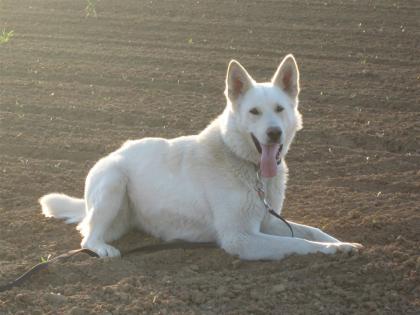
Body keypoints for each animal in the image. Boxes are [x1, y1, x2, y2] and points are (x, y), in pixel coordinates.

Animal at [38, 55, 360, 260]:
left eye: (280, 109)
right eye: (254, 112)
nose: (274, 133)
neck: (245, 164)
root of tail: (113, 153)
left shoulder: (266, 222)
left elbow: (312, 231)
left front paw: (343, 243)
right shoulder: (240, 238)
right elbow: (302, 244)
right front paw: (330, 251)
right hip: (113, 182)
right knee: (87, 236)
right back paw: (104, 249)